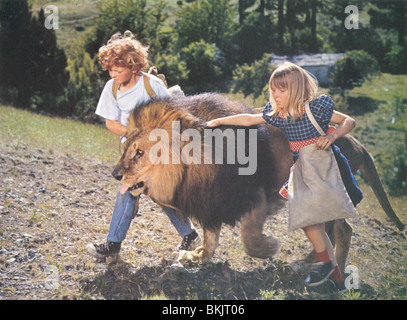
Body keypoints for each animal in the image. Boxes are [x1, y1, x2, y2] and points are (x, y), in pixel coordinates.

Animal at [111, 93, 404, 270]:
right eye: (125, 148)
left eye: (140, 152)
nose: (115, 174)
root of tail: (356, 143)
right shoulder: (210, 201)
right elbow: (210, 237)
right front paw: (198, 255)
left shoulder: (257, 194)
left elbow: (248, 235)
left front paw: (268, 248)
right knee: (329, 233)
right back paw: (309, 264)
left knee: (343, 231)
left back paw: (335, 272)